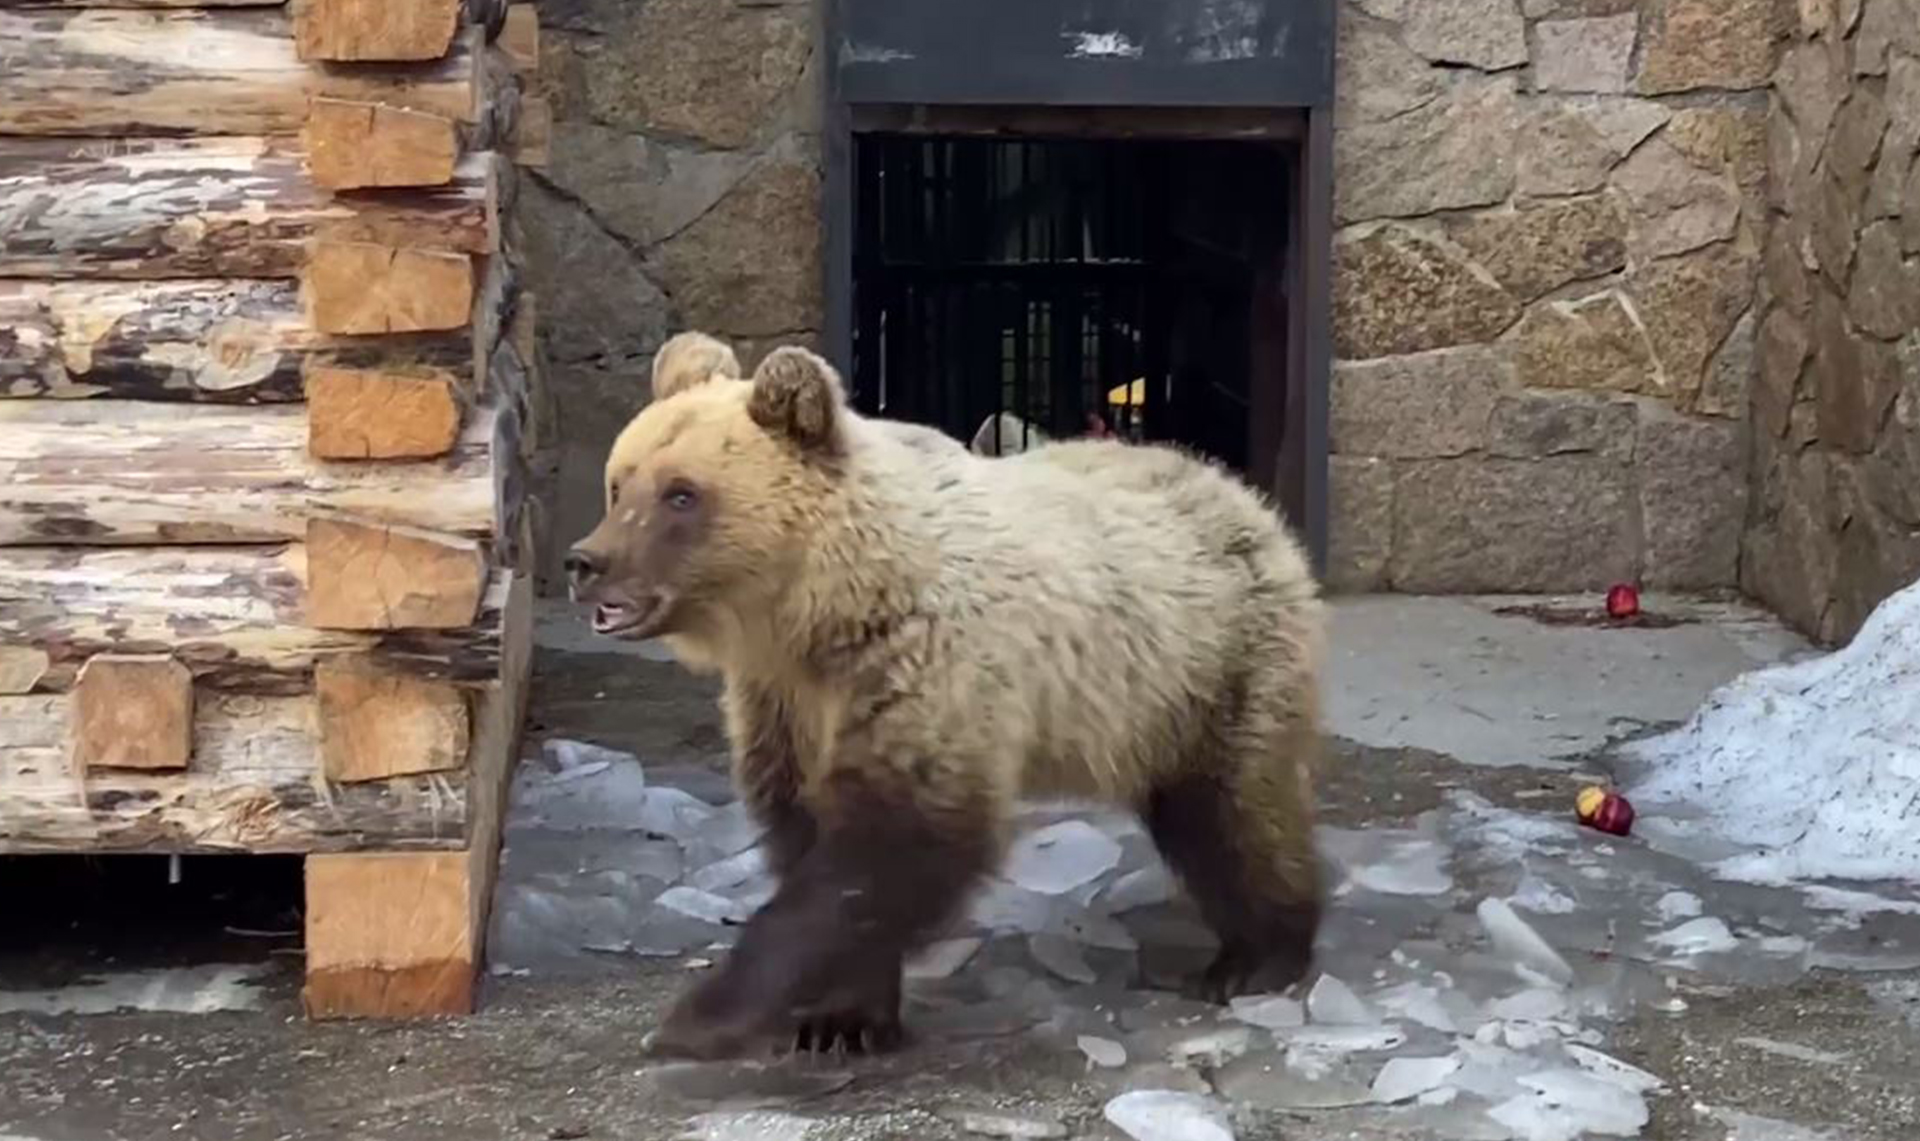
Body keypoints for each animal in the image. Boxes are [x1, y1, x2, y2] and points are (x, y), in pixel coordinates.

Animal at [560, 332, 1328, 1052]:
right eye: (618, 484)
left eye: (681, 493)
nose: (585, 562)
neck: (823, 610)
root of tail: (1236, 489)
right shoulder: (783, 700)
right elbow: (808, 832)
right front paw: (841, 1018)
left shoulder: (925, 666)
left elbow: (890, 846)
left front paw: (700, 1019)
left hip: (1214, 663)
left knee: (1233, 813)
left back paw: (1257, 956)